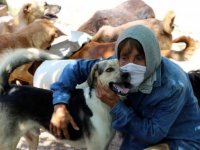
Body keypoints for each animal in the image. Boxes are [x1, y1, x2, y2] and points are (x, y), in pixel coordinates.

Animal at [0, 48, 131, 150]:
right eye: (109, 69)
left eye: (124, 66)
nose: (127, 74)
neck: (101, 102)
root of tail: (8, 89)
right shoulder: (95, 146)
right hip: (8, 143)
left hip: (32, 138)